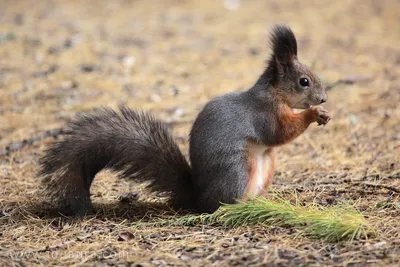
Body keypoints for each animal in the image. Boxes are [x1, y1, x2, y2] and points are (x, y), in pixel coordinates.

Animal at [38, 24, 332, 218]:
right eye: (303, 82)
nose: (324, 98)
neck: (274, 92)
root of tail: (198, 198)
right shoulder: (264, 113)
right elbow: (279, 132)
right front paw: (313, 114)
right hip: (238, 168)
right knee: (222, 205)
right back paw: (240, 207)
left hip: (267, 164)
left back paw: (265, 203)